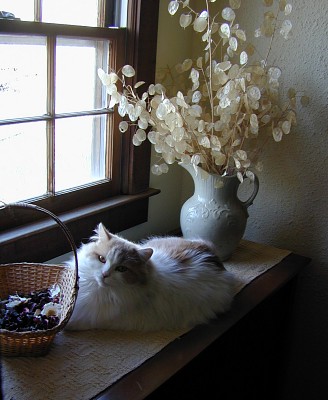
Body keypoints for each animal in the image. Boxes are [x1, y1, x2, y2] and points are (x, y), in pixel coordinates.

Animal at [65, 223, 236, 332]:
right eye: (102, 259)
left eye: (122, 269)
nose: (104, 274)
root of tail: (215, 258)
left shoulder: (101, 319)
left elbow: (77, 322)